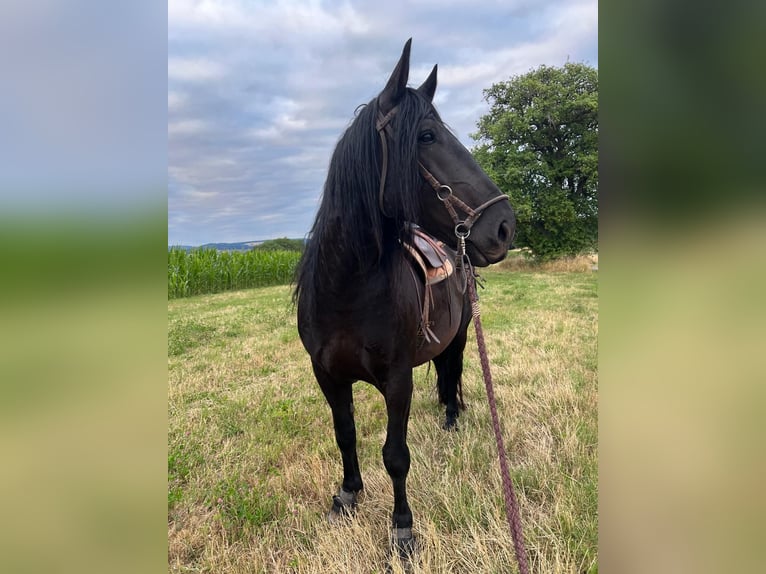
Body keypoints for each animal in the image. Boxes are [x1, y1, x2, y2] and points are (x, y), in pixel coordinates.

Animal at [294, 39, 516, 556]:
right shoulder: (326, 375)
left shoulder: (397, 379)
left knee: (453, 370)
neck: (346, 290)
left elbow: (395, 455)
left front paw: (402, 528)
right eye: (427, 136)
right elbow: (345, 435)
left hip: (459, 337)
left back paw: (451, 419)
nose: (504, 226)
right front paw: (347, 496)